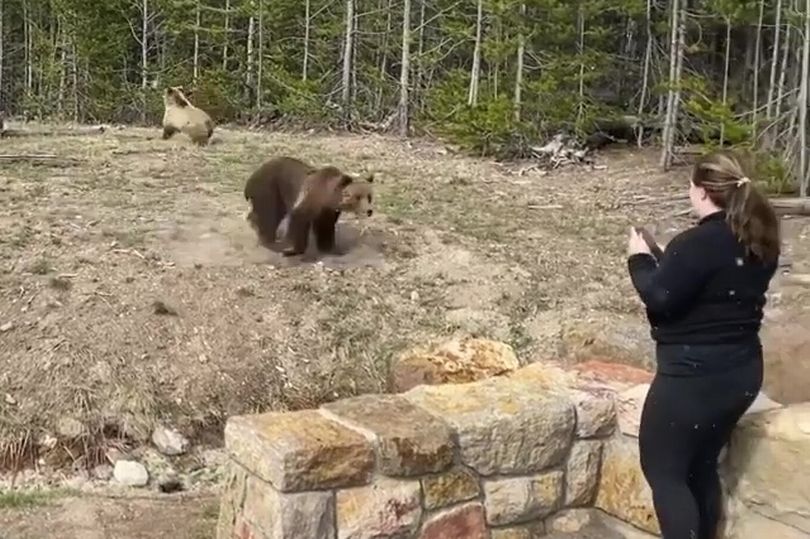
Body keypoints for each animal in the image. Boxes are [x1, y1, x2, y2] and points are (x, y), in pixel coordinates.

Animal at [243, 156, 374, 257]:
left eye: (369, 197)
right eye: (357, 197)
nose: (369, 211)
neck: (329, 197)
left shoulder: (328, 211)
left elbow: (325, 227)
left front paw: (330, 248)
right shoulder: (311, 198)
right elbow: (299, 219)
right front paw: (293, 250)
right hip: (269, 188)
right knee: (268, 215)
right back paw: (267, 239)